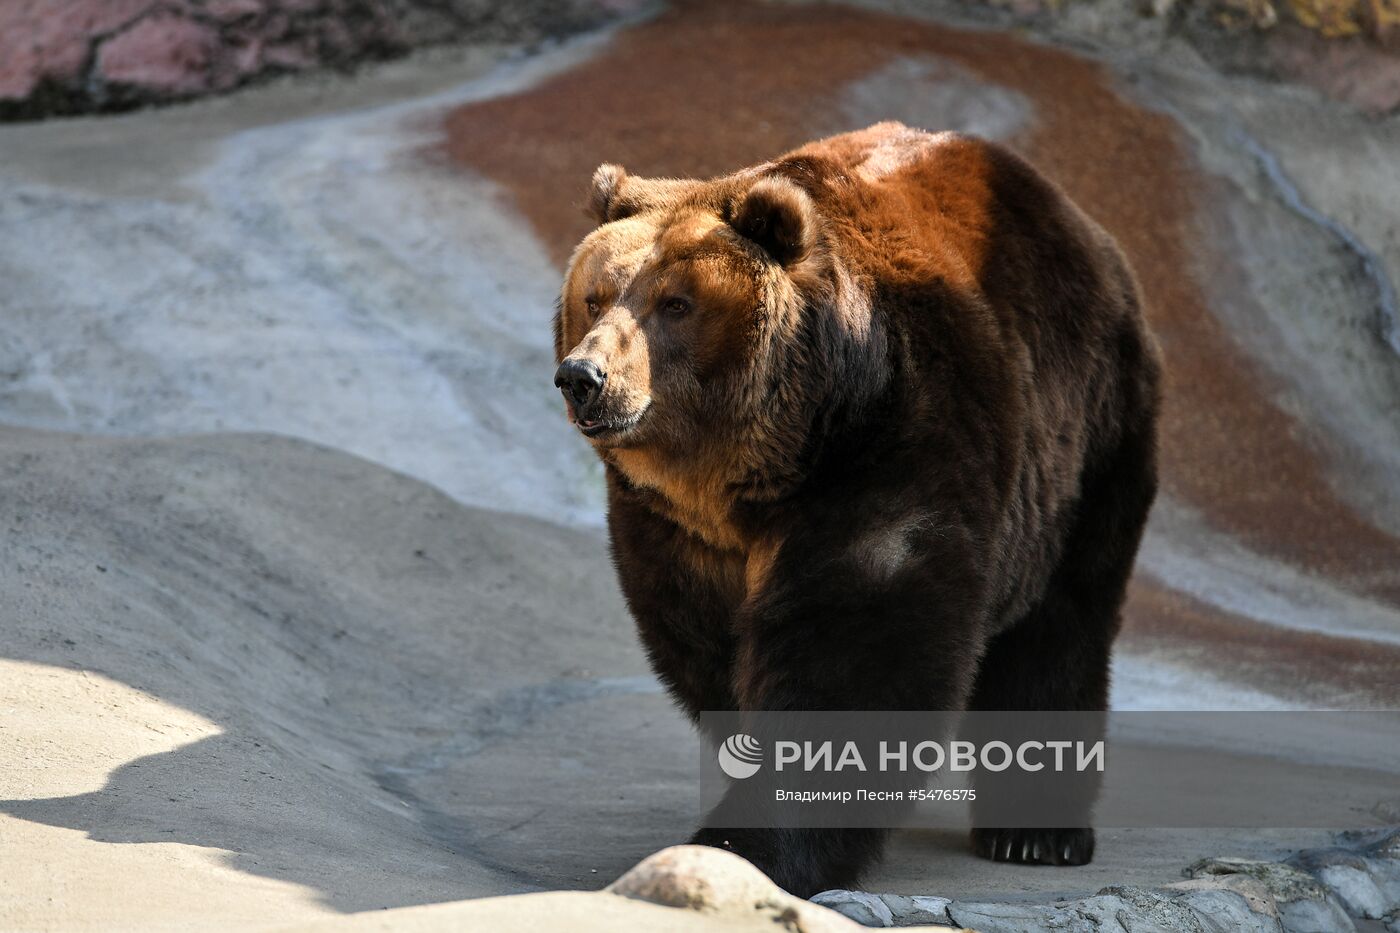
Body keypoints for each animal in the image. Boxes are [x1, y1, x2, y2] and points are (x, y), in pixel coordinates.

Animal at [551, 121, 1164, 896]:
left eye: (676, 304)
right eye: (596, 295)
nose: (584, 376)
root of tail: (1081, 224)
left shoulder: (891, 448)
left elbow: (852, 647)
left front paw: (753, 844)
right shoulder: (676, 532)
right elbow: (707, 645)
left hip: (1087, 443)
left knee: (1061, 621)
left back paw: (1034, 833)